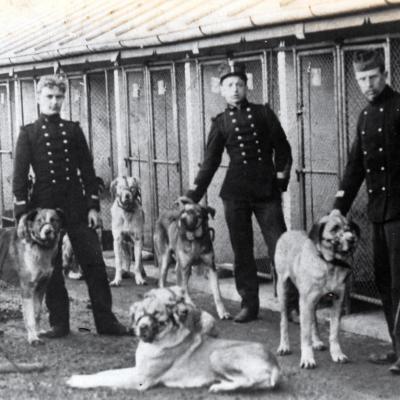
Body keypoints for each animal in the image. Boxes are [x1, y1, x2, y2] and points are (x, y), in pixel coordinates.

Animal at [0, 209, 63, 344]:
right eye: (39, 221)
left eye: (54, 220)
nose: (48, 231)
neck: (39, 247)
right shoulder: (27, 288)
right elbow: (30, 316)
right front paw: (33, 338)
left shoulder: (41, 287)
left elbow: (37, 313)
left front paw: (38, 332)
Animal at [67, 286, 280, 392]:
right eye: (140, 314)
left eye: (156, 315)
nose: (142, 327)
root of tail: (275, 363)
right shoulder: (137, 369)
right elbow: (107, 372)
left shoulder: (140, 379)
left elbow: (107, 377)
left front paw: (77, 381)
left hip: (217, 355)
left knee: (252, 380)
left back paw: (220, 388)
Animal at [276, 209, 360, 368]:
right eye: (334, 229)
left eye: (349, 228)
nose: (352, 239)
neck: (329, 264)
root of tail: (288, 232)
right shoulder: (305, 302)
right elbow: (305, 334)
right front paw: (307, 358)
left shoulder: (337, 302)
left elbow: (334, 332)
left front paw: (337, 354)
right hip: (283, 290)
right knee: (283, 321)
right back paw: (284, 346)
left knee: (313, 319)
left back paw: (317, 341)